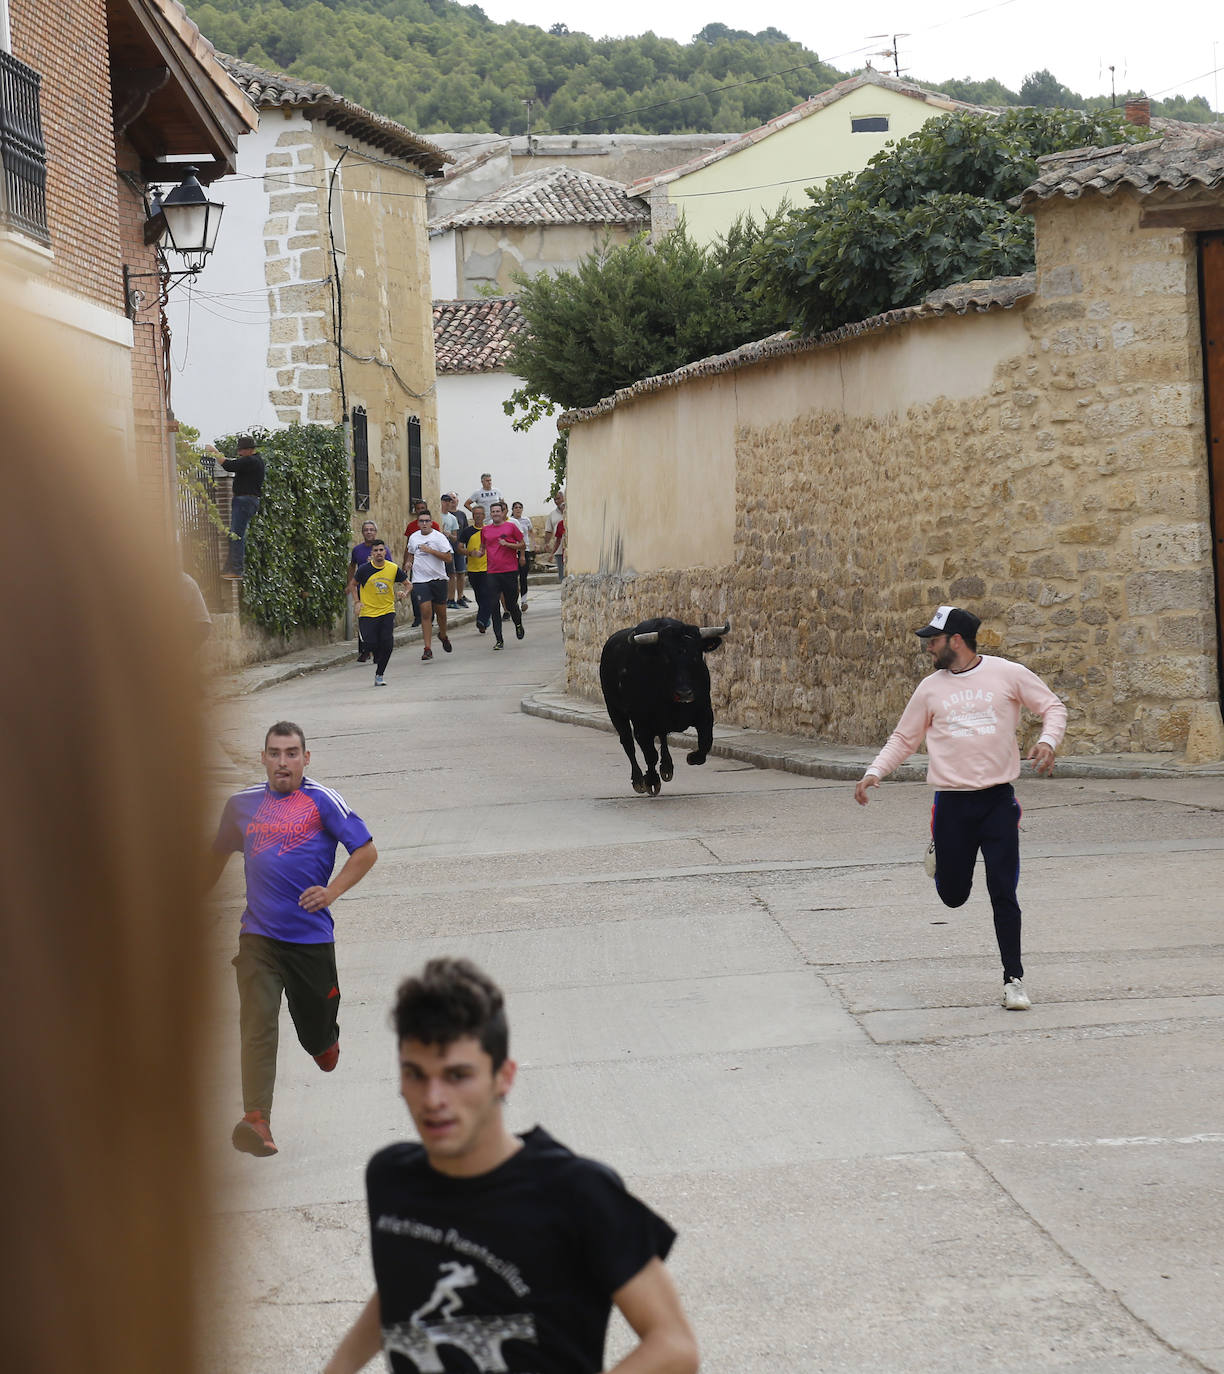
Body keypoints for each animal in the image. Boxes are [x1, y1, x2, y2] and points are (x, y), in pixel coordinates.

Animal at [601, 621, 730, 802]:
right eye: (666, 658)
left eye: (696, 656)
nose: (684, 693)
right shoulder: (642, 726)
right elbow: (650, 754)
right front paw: (651, 781)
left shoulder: (705, 714)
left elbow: (706, 742)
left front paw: (692, 757)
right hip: (615, 711)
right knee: (628, 743)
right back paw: (638, 780)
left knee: (662, 736)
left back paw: (667, 767)